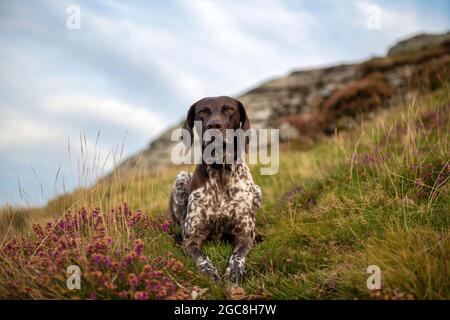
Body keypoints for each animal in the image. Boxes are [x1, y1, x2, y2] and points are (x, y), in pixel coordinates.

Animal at [169, 95, 262, 282]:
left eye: (229, 109)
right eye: (202, 112)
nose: (214, 126)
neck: (221, 172)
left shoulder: (244, 234)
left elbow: (238, 255)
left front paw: (235, 271)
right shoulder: (192, 238)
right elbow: (201, 257)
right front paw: (209, 271)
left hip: (257, 190)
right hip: (181, 178)